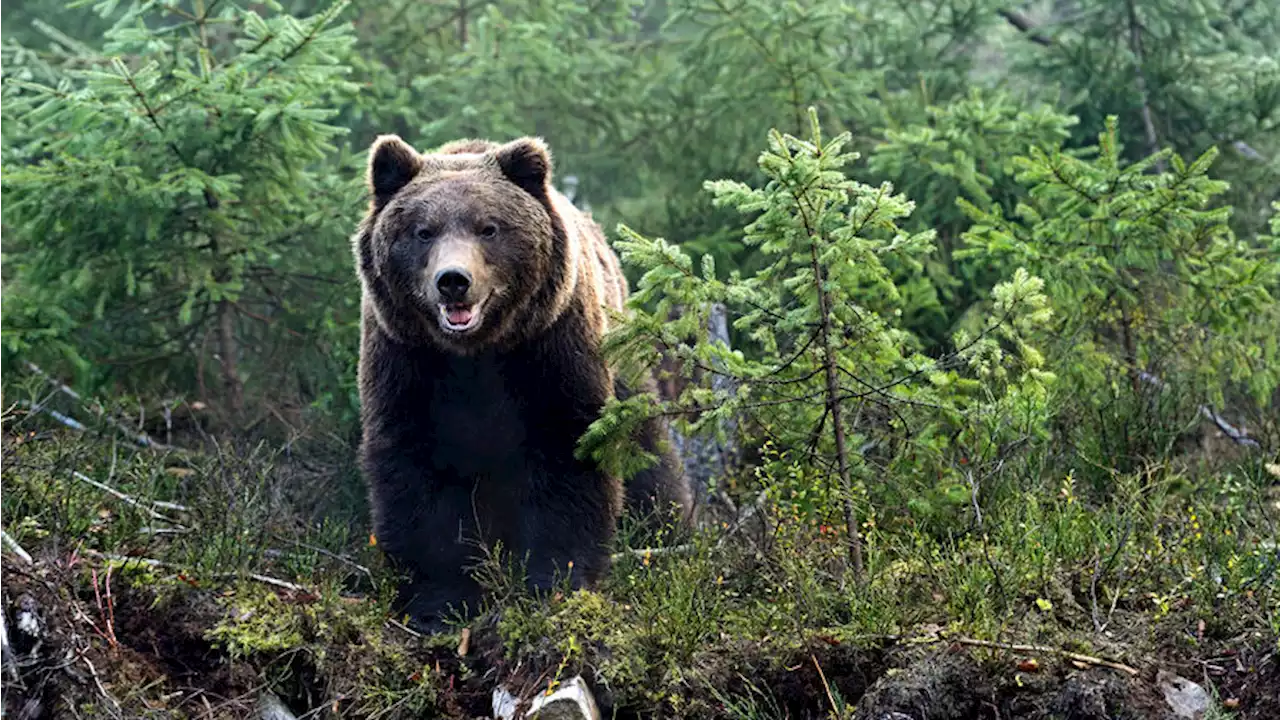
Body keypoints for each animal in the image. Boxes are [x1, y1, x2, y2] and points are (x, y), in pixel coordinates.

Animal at [350, 134, 696, 627]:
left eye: (488, 228)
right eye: (423, 231)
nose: (453, 280)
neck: (476, 352)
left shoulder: (549, 348)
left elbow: (569, 451)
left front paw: (554, 581)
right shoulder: (407, 361)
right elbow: (416, 471)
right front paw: (438, 601)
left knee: (648, 452)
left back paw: (668, 530)